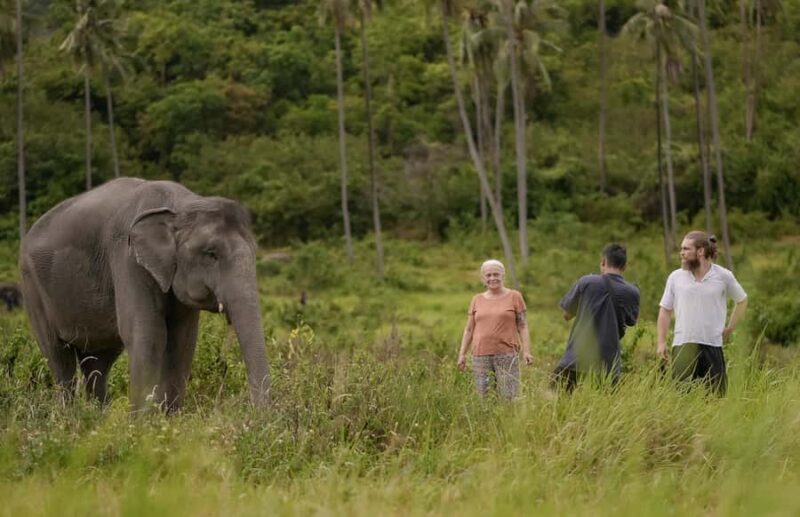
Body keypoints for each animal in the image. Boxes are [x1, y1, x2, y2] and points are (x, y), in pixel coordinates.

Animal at [20, 178, 270, 412]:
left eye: (254, 251)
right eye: (211, 254)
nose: (255, 412)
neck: (180, 205)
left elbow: (183, 341)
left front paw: (168, 420)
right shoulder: (128, 260)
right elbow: (149, 335)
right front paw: (140, 425)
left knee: (97, 364)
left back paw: (97, 419)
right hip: (32, 288)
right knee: (59, 358)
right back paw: (71, 418)